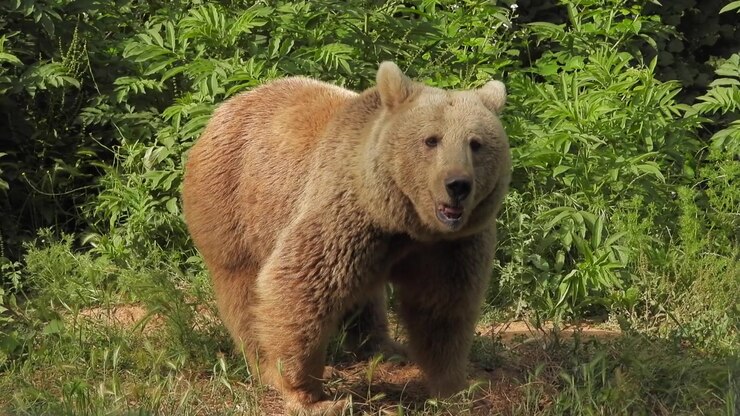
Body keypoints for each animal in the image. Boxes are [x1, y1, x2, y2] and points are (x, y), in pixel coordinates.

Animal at [182, 62, 511, 415]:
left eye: (476, 143)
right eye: (431, 140)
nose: (457, 185)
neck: (404, 221)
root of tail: (227, 107)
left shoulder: (447, 247)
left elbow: (442, 308)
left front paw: (455, 387)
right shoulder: (344, 214)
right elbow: (297, 288)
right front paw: (311, 395)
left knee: (365, 298)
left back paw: (385, 350)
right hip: (232, 205)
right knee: (243, 291)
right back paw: (265, 366)